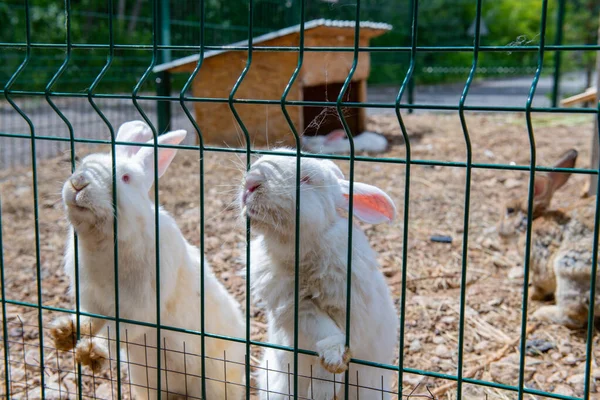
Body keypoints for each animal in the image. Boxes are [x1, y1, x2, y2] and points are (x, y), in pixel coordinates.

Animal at [49, 120, 246, 398]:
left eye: (125, 178)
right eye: (82, 163)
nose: (78, 183)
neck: (104, 241)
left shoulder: (139, 309)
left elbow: (114, 331)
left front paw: (91, 353)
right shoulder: (91, 300)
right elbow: (87, 319)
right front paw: (63, 332)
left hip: (211, 383)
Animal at [239, 149, 398, 400]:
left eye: (306, 179)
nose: (251, 182)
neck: (299, 251)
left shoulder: (354, 312)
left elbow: (341, 340)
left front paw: (326, 382)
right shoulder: (298, 309)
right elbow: (324, 332)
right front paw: (325, 382)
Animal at [496, 149, 600, 328]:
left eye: (510, 210)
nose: (499, 232)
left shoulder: (539, 259)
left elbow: (540, 284)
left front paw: (531, 295)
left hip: (569, 267)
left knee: (574, 315)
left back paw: (541, 313)